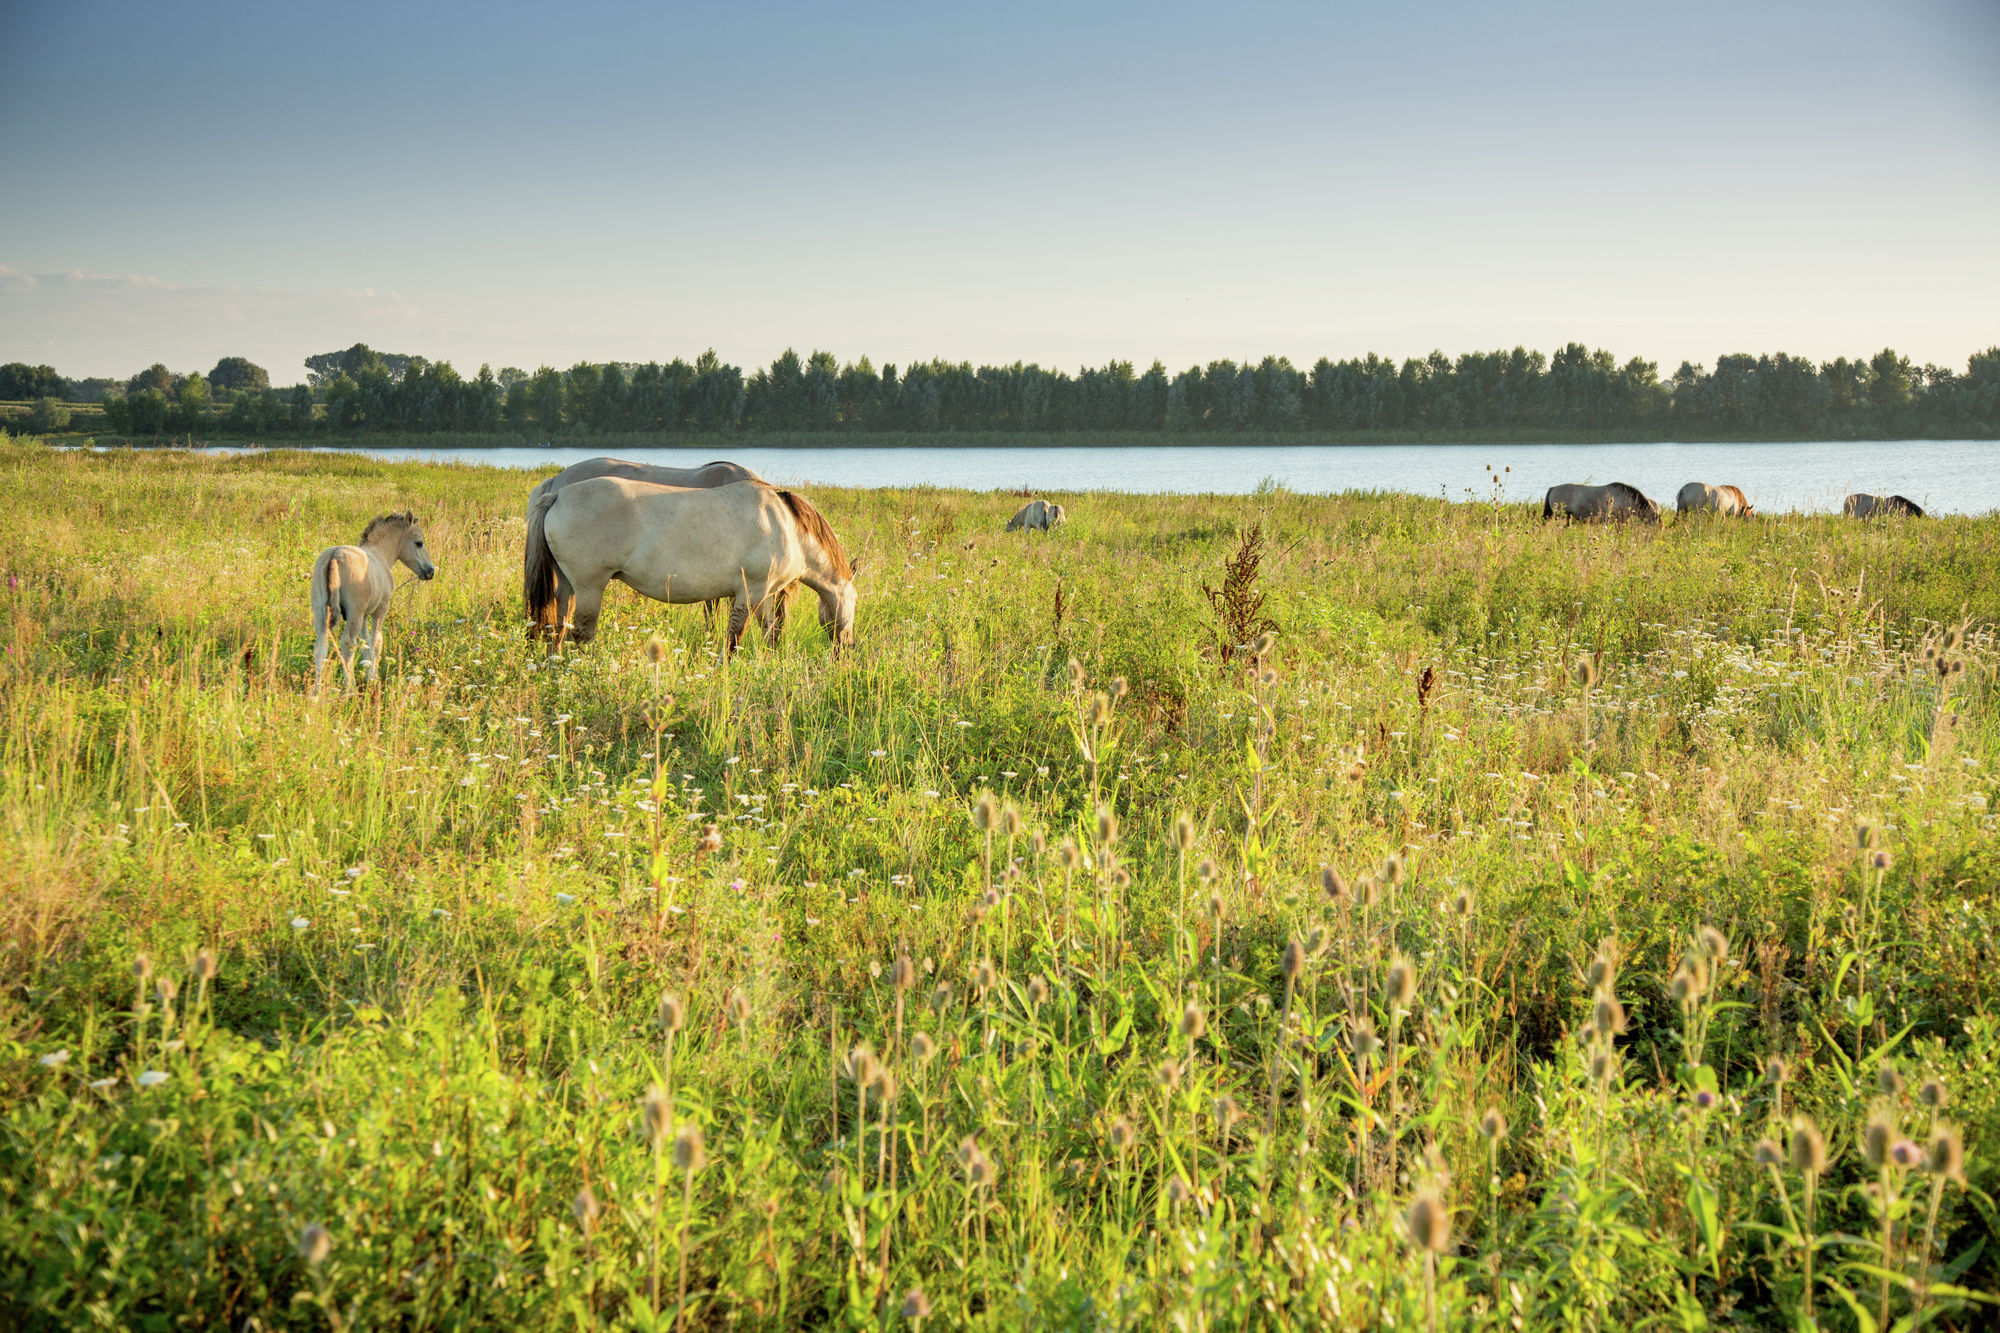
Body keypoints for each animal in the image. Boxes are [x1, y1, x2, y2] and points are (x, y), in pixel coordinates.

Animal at [308, 508, 434, 696]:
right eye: (419, 543)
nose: (430, 571)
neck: (380, 554)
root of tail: (334, 557)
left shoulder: (365, 615)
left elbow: (365, 642)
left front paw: (369, 674)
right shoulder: (379, 610)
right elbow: (376, 642)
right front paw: (373, 678)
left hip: (321, 611)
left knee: (320, 646)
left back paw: (316, 691)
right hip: (354, 612)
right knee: (347, 644)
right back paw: (351, 688)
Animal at [520, 478, 856, 652]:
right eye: (855, 601)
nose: (848, 648)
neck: (786, 523)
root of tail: (557, 494)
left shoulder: (766, 595)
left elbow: (770, 633)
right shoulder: (750, 593)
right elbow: (733, 639)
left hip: (566, 586)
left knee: (556, 630)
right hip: (589, 587)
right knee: (581, 634)